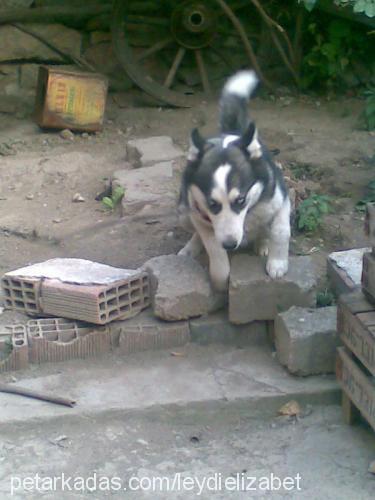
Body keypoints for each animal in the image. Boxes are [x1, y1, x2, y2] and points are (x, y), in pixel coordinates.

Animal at [178, 68, 290, 292]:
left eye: (241, 200)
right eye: (212, 204)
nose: (230, 245)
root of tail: (232, 132)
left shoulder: (280, 199)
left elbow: (281, 230)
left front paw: (278, 263)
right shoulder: (203, 219)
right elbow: (215, 253)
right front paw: (220, 281)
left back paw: (263, 242)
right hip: (184, 212)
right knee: (195, 229)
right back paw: (190, 248)